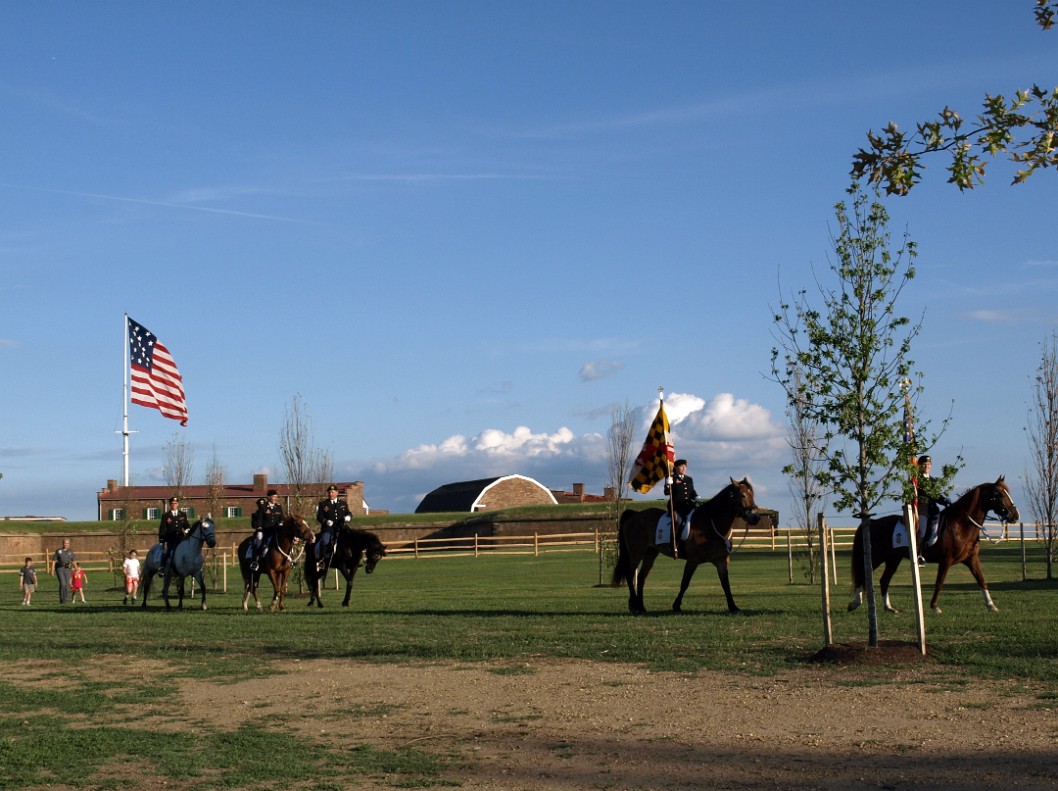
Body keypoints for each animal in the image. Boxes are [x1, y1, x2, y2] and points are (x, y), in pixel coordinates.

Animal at [613, 475, 761, 617]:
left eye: (752, 494)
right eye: (742, 495)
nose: (756, 518)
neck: (710, 523)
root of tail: (635, 515)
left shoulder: (722, 560)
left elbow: (725, 584)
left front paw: (733, 607)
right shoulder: (692, 560)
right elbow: (685, 583)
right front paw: (676, 605)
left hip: (650, 553)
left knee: (641, 577)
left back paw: (641, 607)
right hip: (636, 553)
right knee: (630, 574)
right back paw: (634, 606)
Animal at [846, 473, 1019, 613]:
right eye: (999, 494)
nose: (1015, 516)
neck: (961, 525)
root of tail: (872, 522)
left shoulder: (971, 560)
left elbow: (982, 581)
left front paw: (991, 606)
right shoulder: (946, 561)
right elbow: (939, 583)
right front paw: (935, 607)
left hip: (893, 559)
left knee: (884, 580)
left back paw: (889, 608)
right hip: (876, 556)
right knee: (863, 573)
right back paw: (855, 603)